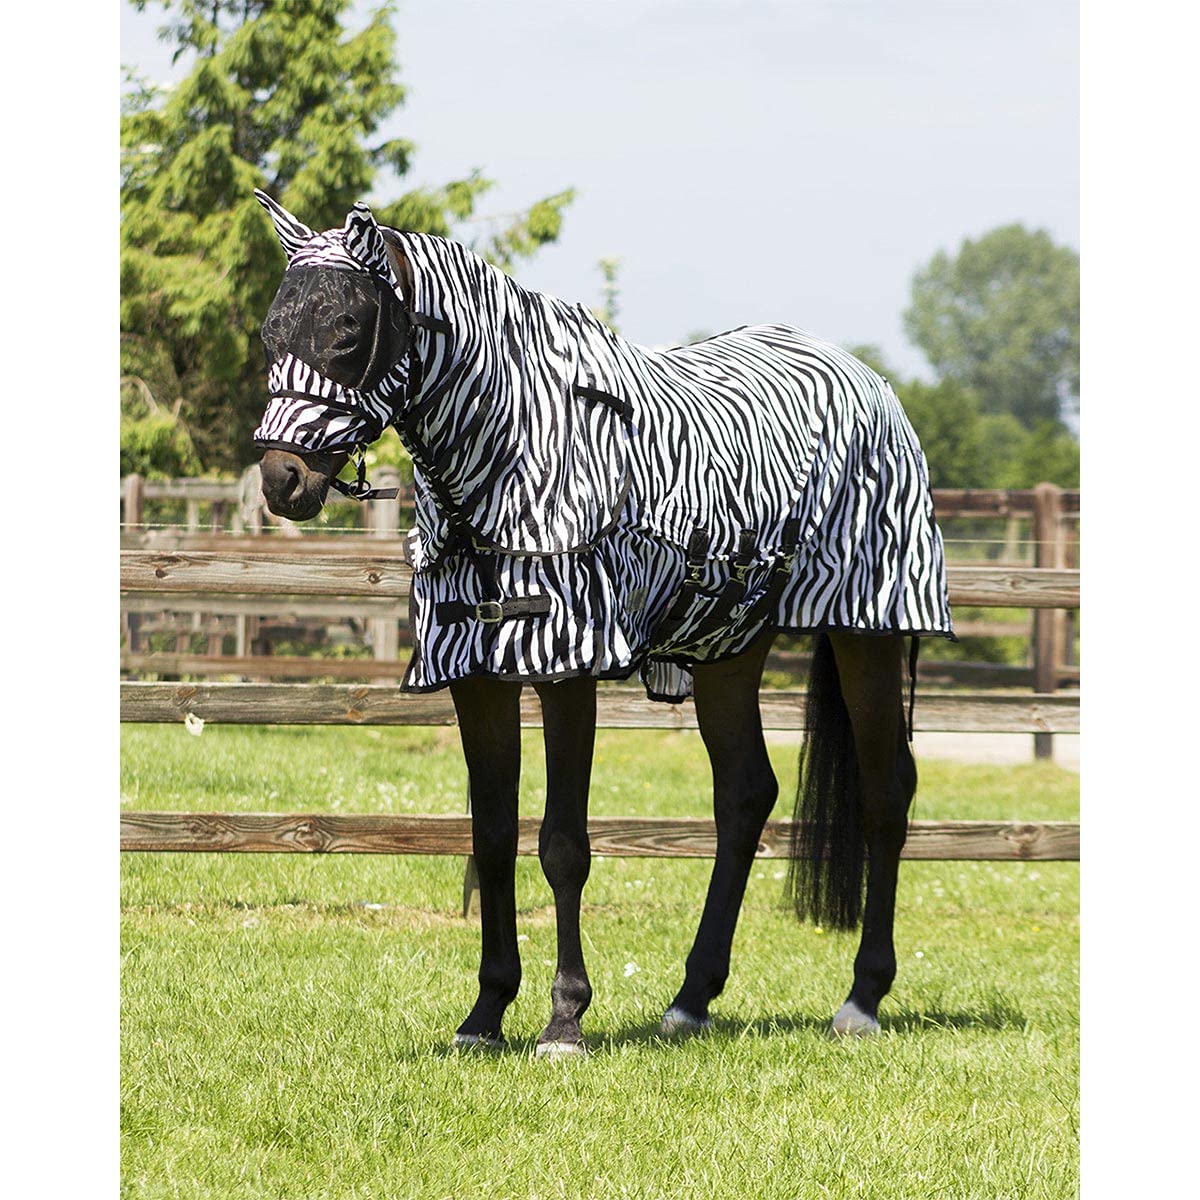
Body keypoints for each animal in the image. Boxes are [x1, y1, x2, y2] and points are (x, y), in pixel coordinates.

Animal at [250, 191, 953, 1055]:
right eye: (270, 334)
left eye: (348, 329)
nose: (282, 480)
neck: (514, 460)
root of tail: (870, 383)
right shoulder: (476, 674)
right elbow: (492, 838)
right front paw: (485, 1013)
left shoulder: (566, 666)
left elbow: (563, 845)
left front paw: (564, 1019)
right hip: (728, 646)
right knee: (745, 794)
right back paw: (691, 999)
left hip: (869, 631)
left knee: (888, 792)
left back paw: (862, 999)